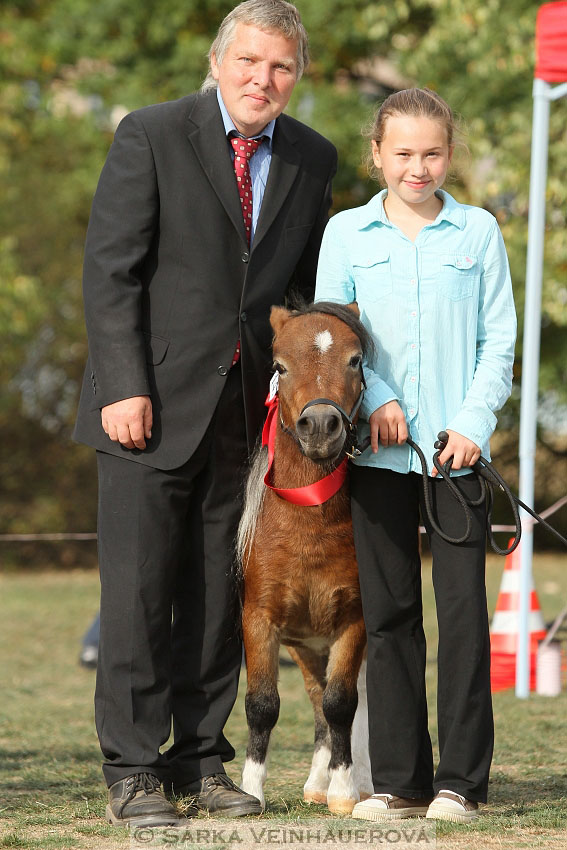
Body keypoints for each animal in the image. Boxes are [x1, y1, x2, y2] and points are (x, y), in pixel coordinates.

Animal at [237, 302, 374, 812]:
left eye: (355, 360)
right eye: (279, 366)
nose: (319, 427)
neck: (308, 527)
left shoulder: (354, 621)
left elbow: (342, 704)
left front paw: (344, 790)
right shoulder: (260, 621)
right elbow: (262, 705)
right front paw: (249, 792)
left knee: (347, 701)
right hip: (307, 642)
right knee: (316, 697)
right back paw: (317, 781)